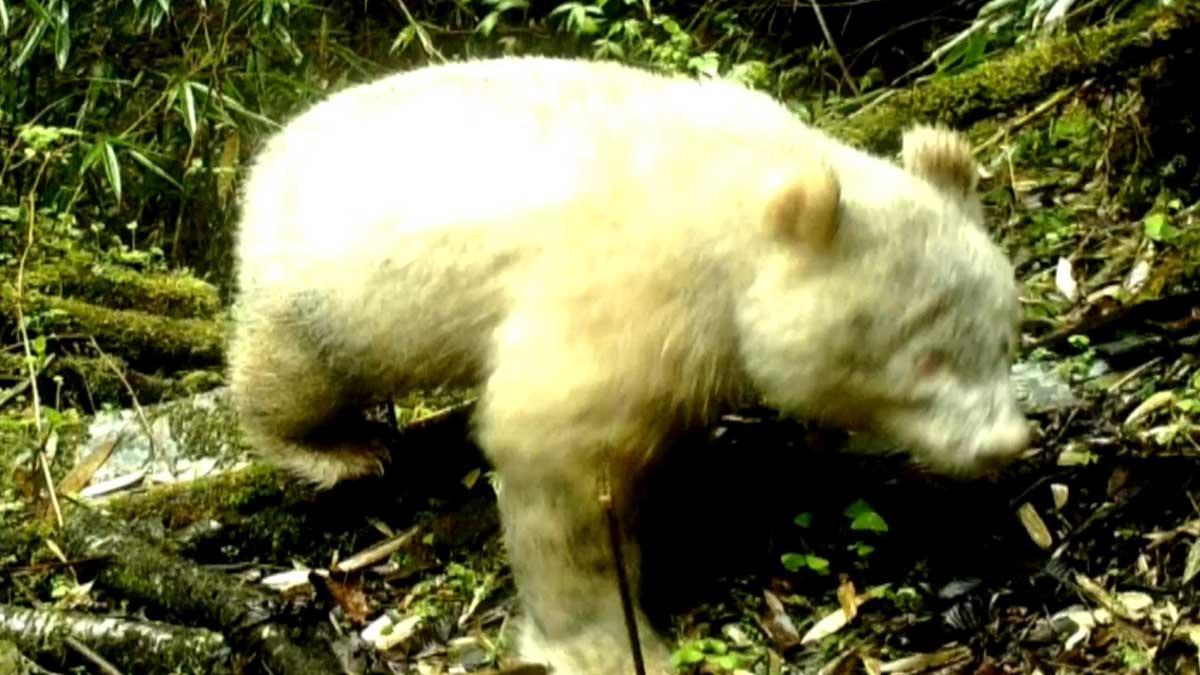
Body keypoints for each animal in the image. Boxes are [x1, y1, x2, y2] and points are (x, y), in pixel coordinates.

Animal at [226, 56, 1032, 672]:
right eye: (926, 359)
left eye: (1004, 337)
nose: (1003, 443)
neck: (742, 195)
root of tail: (269, 153)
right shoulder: (633, 288)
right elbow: (555, 447)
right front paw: (604, 643)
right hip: (324, 283)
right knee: (294, 372)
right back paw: (337, 448)